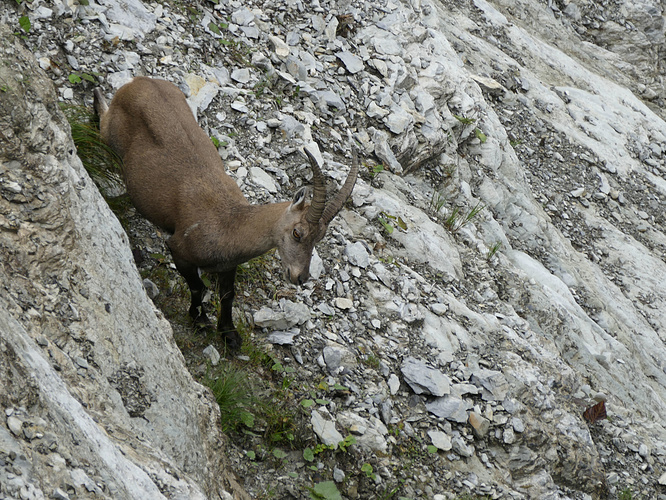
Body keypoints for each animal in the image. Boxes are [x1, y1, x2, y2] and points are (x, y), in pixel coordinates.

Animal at [94, 76, 358, 350]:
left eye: (320, 238)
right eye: (297, 232)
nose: (300, 277)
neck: (230, 223)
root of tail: (139, 81)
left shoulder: (228, 266)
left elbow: (228, 295)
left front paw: (229, 334)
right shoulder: (179, 250)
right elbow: (199, 288)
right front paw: (200, 320)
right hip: (110, 135)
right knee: (103, 120)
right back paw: (97, 96)